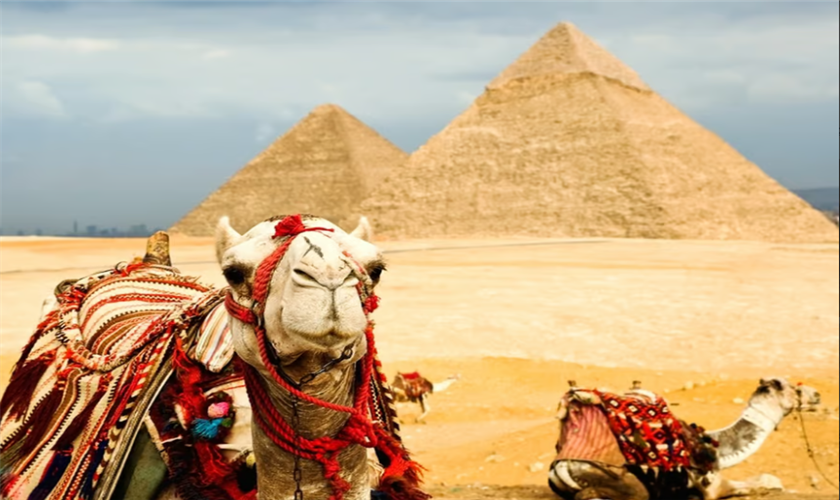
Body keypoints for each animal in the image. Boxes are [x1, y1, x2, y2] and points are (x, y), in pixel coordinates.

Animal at [552, 378, 820, 500]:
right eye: (793, 388)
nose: (817, 395)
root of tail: (560, 468)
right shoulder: (710, 488)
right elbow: (762, 482)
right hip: (624, 486)